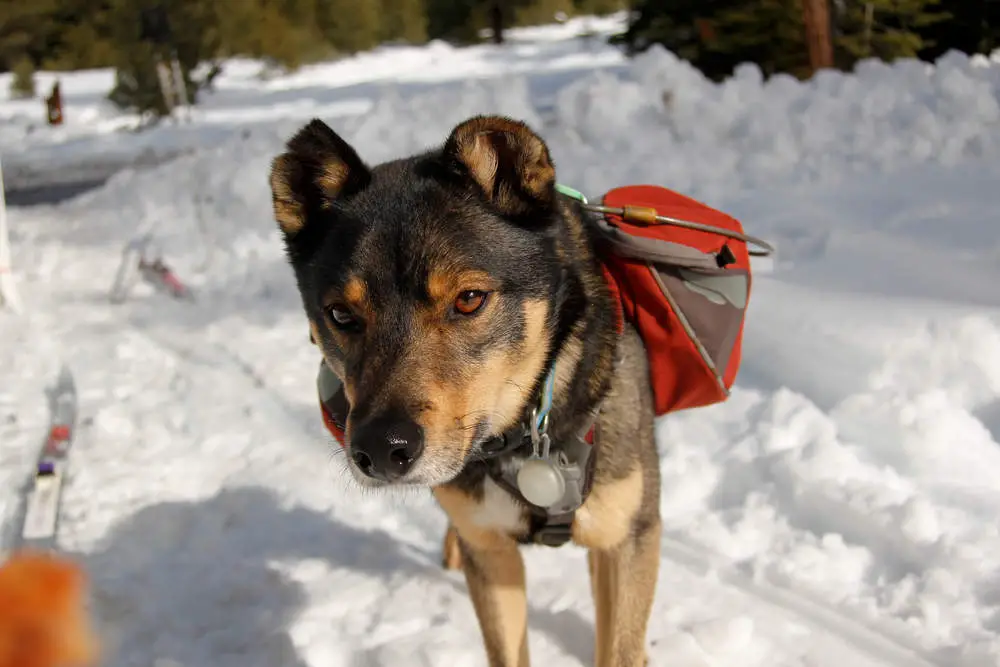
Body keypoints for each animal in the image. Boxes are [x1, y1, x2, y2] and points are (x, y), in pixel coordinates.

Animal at [270, 116, 660, 667]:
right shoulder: (492, 557)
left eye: (470, 299)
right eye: (340, 315)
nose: (381, 450)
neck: (526, 437)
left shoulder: (629, 540)